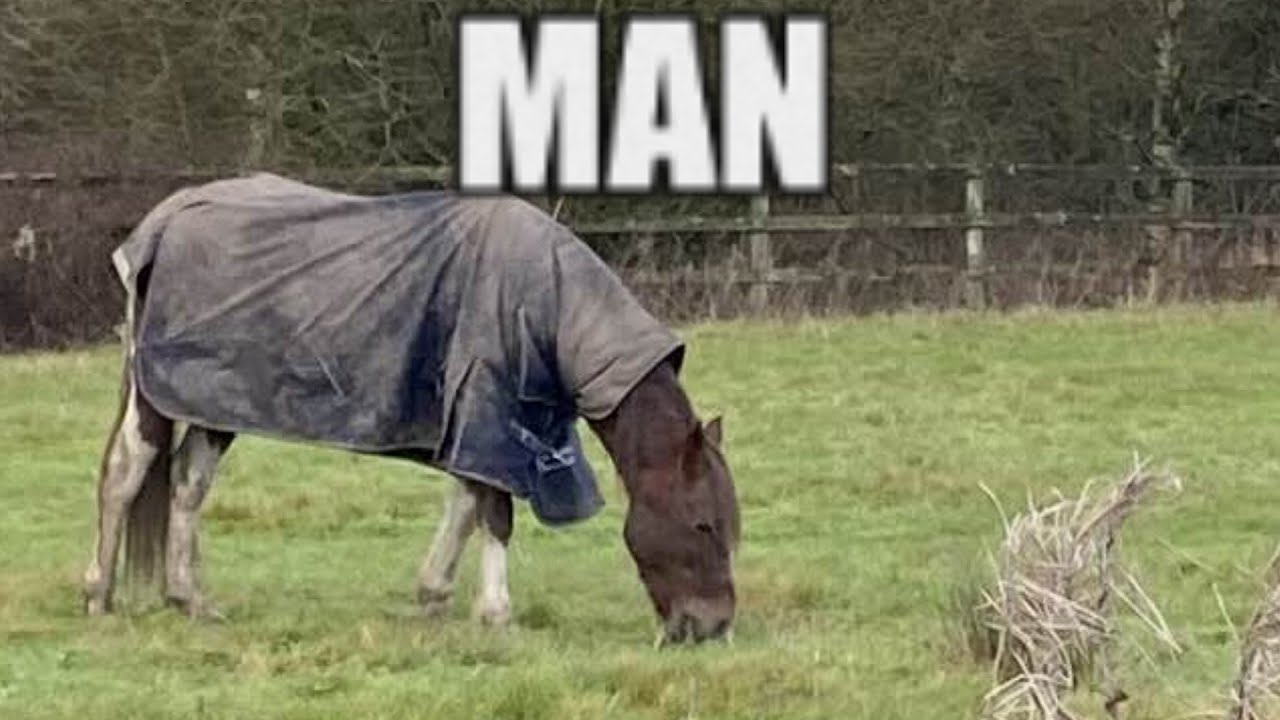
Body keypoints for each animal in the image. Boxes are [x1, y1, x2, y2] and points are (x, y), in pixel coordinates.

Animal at [81, 174, 740, 645]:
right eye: (702, 523)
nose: (711, 627)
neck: (549, 307)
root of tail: (168, 218)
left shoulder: (481, 426)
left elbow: (466, 505)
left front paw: (434, 594)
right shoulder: (487, 411)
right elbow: (494, 514)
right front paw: (495, 613)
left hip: (216, 406)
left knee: (188, 485)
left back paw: (189, 599)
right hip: (157, 397)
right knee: (126, 474)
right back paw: (98, 596)